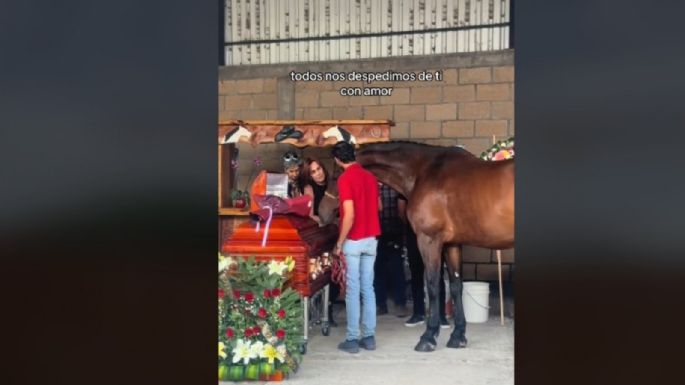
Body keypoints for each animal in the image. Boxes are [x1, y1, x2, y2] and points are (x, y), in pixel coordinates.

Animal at [356, 141, 510, 352]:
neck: (423, 171)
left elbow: (433, 284)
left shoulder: (429, 240)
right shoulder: (451, 244)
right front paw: (457, 336)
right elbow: (456, 285)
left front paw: (428, 337)